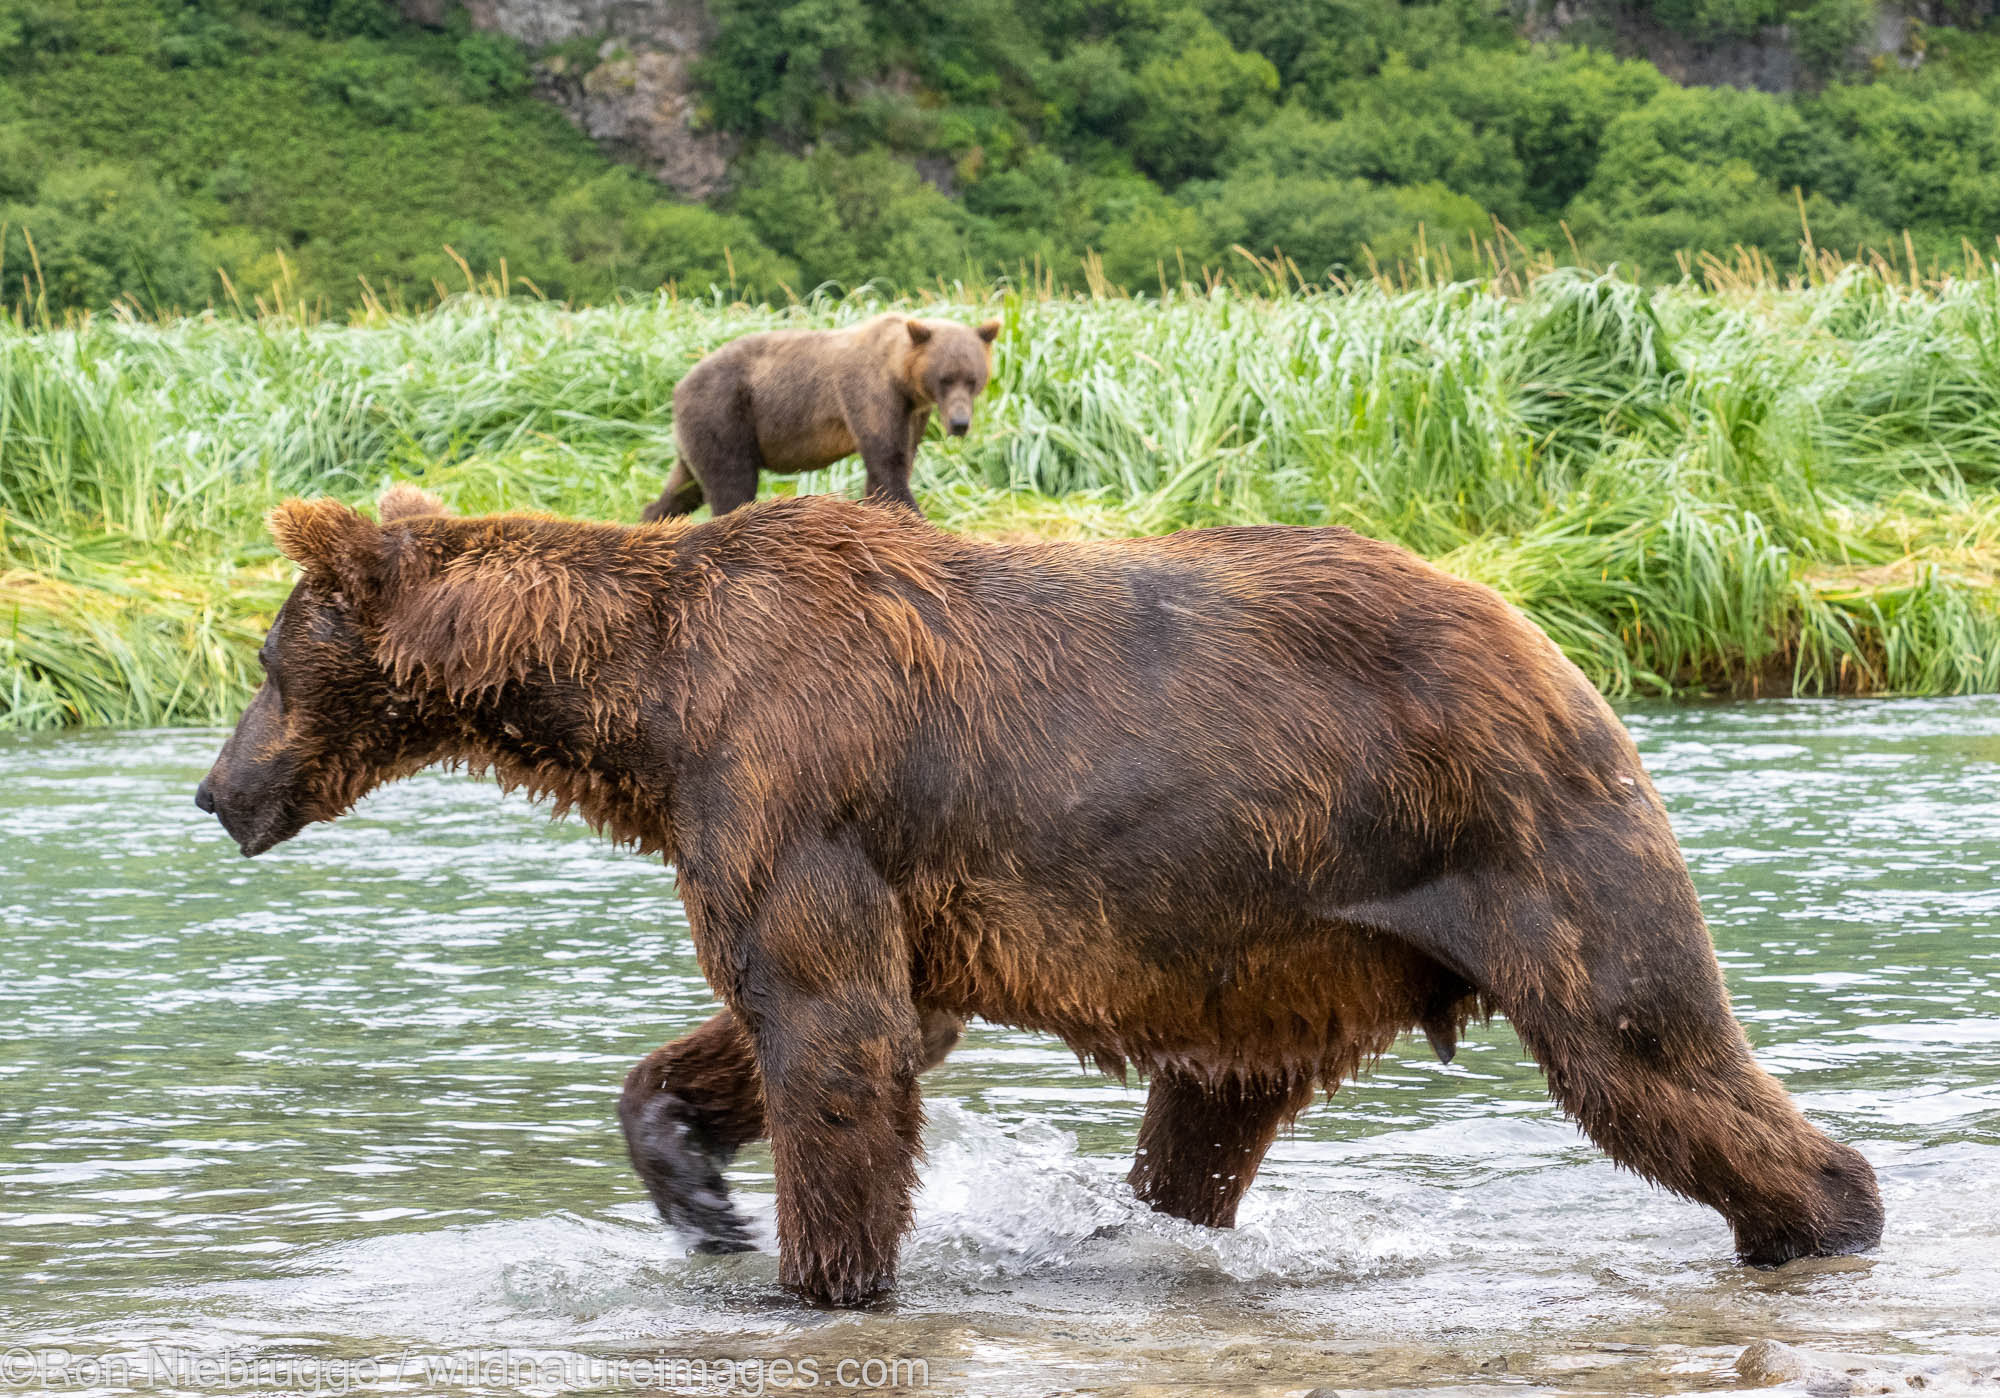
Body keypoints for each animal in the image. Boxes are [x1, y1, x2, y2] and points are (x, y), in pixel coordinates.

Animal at [195, 486, 1880, 1304]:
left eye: (268, 660)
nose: (217, 788)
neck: (647, 705)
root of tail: (1550, 636)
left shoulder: (787, 773)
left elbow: (832, 1029)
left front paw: (817, 1273)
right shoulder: (781, 836)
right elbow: (810, 1020)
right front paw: (696, 1190)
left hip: (1515, 833)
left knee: (1645, 1043)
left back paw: (1822, 1214)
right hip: (1274, 938)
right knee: (1203, 1128)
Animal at [640, 314, 1000, 524]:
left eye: (972, 379)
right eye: (945, 378)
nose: (959, 424)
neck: (901, 377)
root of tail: (677, 387)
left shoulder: (914, 412)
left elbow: (891, 468)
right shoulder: (869, 393)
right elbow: (888, 463)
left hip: (698, 432)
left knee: (683, 488)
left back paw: (649, 519)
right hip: (724, 412)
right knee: (731, 482)